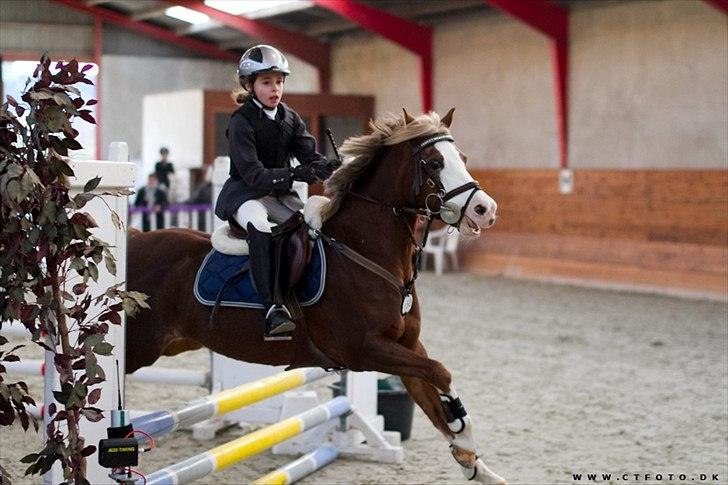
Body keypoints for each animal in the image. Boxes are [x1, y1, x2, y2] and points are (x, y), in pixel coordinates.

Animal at [128, 110, 506, 484]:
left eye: (463, 159)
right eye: (433, 163)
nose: (485, 210)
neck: (364, 251)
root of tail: (134, 238)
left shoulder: (408, 345)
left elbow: (433, 395)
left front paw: (474, 461)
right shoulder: (364, 350)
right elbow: (441, 374)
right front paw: (462, 430)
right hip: (138, 348)